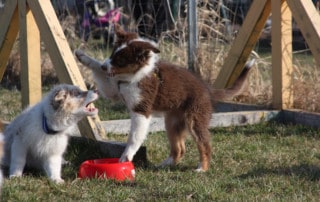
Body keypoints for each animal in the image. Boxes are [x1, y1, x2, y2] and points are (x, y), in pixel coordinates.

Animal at [75, 24, 252, 172]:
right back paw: (165, 165)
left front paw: (126, 155)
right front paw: (82, 56)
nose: (105, 65)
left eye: (121, 60)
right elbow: (100, 71)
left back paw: (202, 168)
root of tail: (208, 89)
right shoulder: (114, 90)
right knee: (180, 149)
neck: (136, 74)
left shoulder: (141, 110)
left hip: (194, 118)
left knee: (204, 144)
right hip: (172, 122)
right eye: (112, 54)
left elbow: (134, 136)